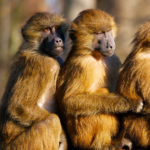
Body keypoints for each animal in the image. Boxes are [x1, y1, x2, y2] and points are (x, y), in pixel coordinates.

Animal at [0, 12, 67, 150]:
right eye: (46, 30)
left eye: (56, 28)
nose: (58, 40)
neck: (38, 49)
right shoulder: (43, 64)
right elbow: (19, 105)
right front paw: (63, 136)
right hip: (22, 145)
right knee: (52, 121)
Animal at [56, 8, 143, 149]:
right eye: (99, 34)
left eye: (107, 31)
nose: (110, 45)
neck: (96, 56)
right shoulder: (82, 65)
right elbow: (70, 101)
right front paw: (130, 102)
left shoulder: (113, 58)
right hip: (82, 135)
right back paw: (103, 144)